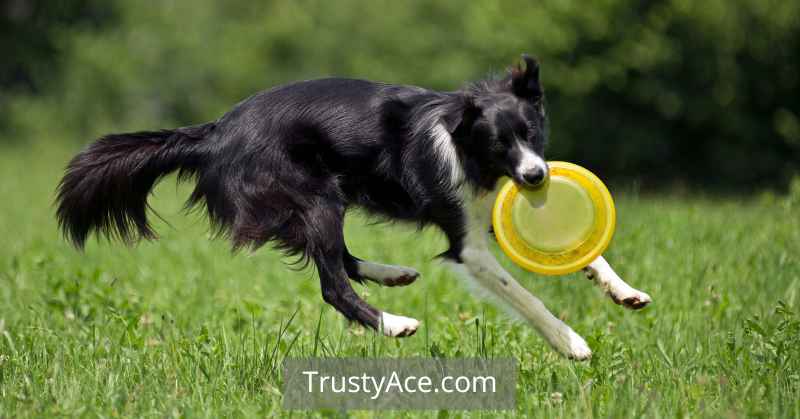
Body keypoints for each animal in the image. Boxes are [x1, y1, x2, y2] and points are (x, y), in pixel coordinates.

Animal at [59, 54, 652, 360]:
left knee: (339, 258)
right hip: (314, 195)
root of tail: (215, 131)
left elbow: (586, 252)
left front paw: (624, 291)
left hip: (320, 199)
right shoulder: (469, 245)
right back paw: (394, 324)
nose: (535, 177)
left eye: (531, 133)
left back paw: (393, 275)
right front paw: (571, 341)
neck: (467, 147)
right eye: (498, 144)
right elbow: (523, 294)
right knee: (332, 284)